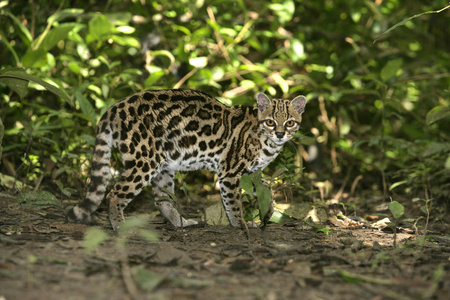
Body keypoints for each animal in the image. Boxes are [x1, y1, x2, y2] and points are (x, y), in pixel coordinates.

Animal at [66, 88, 306, 231]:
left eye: (290, 123)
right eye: (271, 122)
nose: (280, 134)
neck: (267, 141)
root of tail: (114, 108)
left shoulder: (252, 172)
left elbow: (267, 189)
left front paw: (269, 211)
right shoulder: (229, 172)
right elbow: (234, 203)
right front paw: (241, 224)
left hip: (163, 165)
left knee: (162, 201)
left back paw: (181, 222)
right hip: (144, 160)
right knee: (114, 193)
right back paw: (120, 226)